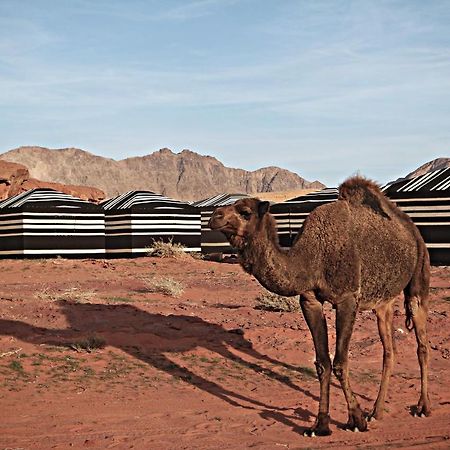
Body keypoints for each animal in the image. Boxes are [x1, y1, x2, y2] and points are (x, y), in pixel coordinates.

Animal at [209, 176, 430, 436]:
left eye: (245, 211)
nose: (214, 216)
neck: (311, 259)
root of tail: (410, 227)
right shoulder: (310, 301)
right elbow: (322, 363)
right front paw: (320, 424)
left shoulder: (347, 299)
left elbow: (340, 363)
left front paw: (356, 419)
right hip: (383, 302)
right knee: (389, 350)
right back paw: (376, 412)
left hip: (419, 276)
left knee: (421, 343)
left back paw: (422, 407)